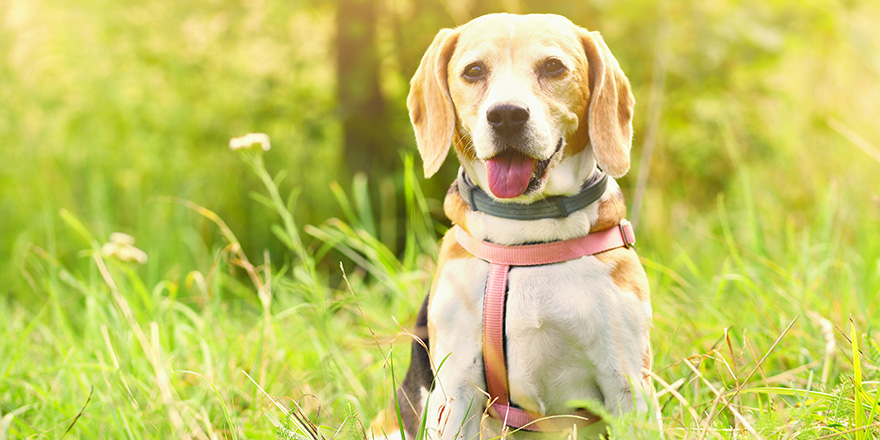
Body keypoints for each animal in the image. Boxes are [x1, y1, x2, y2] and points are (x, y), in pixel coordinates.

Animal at [374, 12, 648, 438]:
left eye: (553, 67)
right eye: (473, 71)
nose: (505, 115)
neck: (527, 234)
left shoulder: (627, 385)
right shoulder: (456, 389)